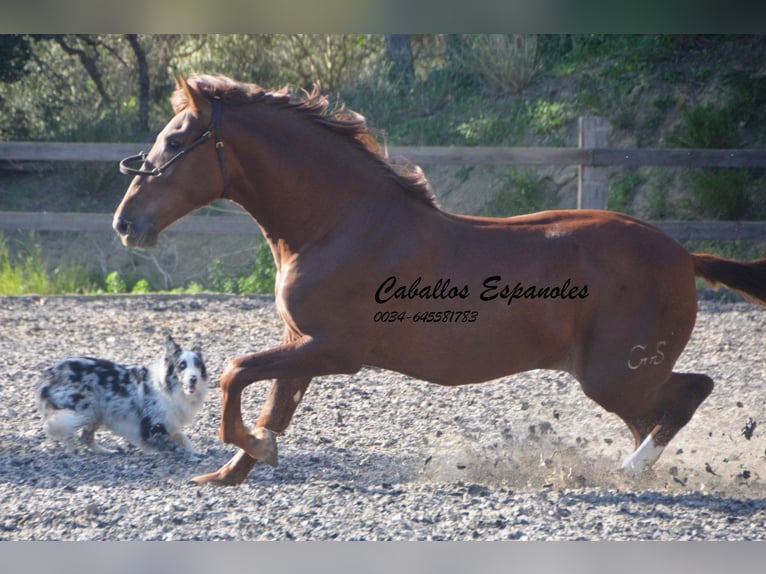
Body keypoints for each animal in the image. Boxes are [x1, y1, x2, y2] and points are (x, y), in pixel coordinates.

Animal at [37, 336, 208, 462]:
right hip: (81, 411)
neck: (168, 387)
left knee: (85, 437)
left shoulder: (169, 423)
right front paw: (191, 456)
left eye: (198, 365)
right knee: (68, 433)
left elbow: (183, 438)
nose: (193, 378)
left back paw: (106, 452)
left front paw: (195, 451)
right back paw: (73, 454)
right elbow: (175, 445)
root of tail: (49, 375)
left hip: (96, 413)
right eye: (182, 365)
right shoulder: (154, 427)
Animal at [114, 73, 766, 486]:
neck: (339, 223)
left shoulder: (335, 351)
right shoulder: (300, 346)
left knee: (688, 394)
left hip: (614, 373)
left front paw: (251, 452)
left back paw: (627, 472)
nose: (125, 223)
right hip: (621, 378)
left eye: (175, 140)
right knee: (658, 412)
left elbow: (234, 374)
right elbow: (273, 407)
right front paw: (228, 474)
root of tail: (682, 254)